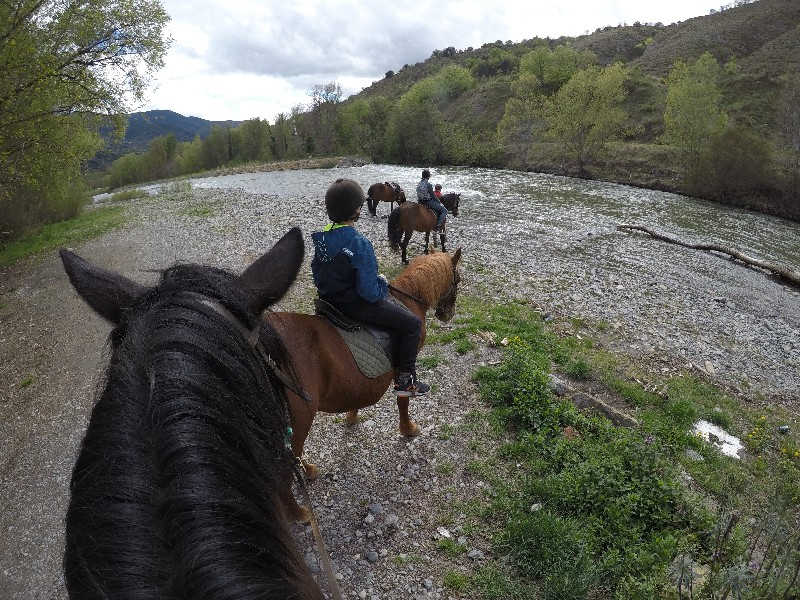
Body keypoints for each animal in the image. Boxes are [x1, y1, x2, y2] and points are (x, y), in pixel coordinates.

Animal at [266, 248, 462, 520]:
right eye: (458, 280)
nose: (447, 314)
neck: (409, 300)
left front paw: (352, 416)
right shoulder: (402, 368)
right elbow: (403, 400)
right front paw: (408, 429)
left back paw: (307, 470)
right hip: (301, 417)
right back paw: (300, 512)